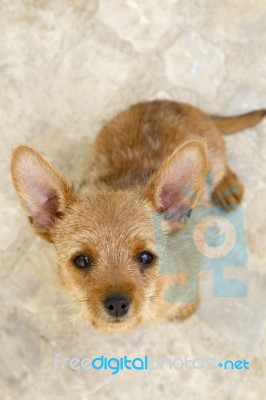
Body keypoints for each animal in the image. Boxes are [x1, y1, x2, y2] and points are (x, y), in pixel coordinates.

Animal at [10, 101, 266, 334]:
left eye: (146, 257)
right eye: (81, 260)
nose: (117, 304)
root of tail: (173, 103)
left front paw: (185, 308)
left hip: (215, 156)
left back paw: (228, 187)